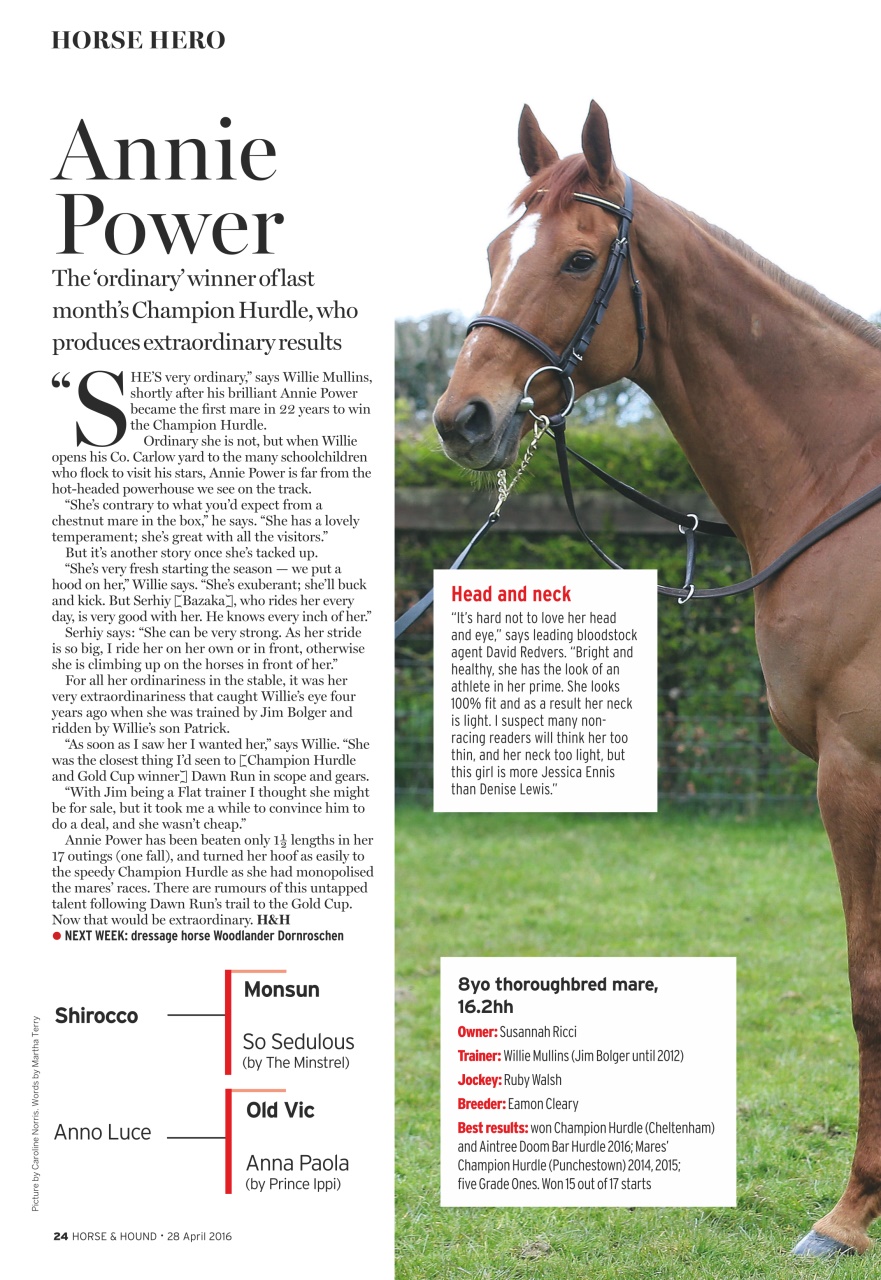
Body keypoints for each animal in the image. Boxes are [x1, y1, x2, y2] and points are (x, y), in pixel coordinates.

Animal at [433, 102, 881, 1257]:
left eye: (579, 257)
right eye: (494, 249)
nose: (463, 417)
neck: (846, 479)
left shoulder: (854, 772)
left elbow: (866, 982)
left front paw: (848, 1212)